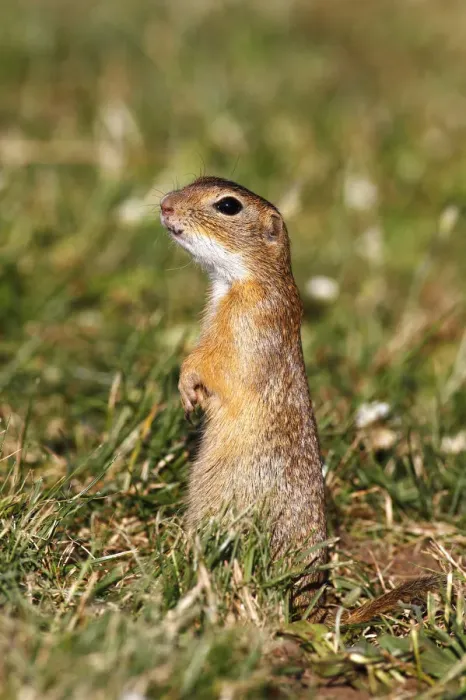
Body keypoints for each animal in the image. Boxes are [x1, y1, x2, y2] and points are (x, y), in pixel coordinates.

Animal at [160, 175, 444, 623]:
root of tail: (320, 610)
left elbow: (213, 362)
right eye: (194, 181)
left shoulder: (246, 325)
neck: (241, 280)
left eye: (228, 205)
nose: (165, 205)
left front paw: (189, 387)